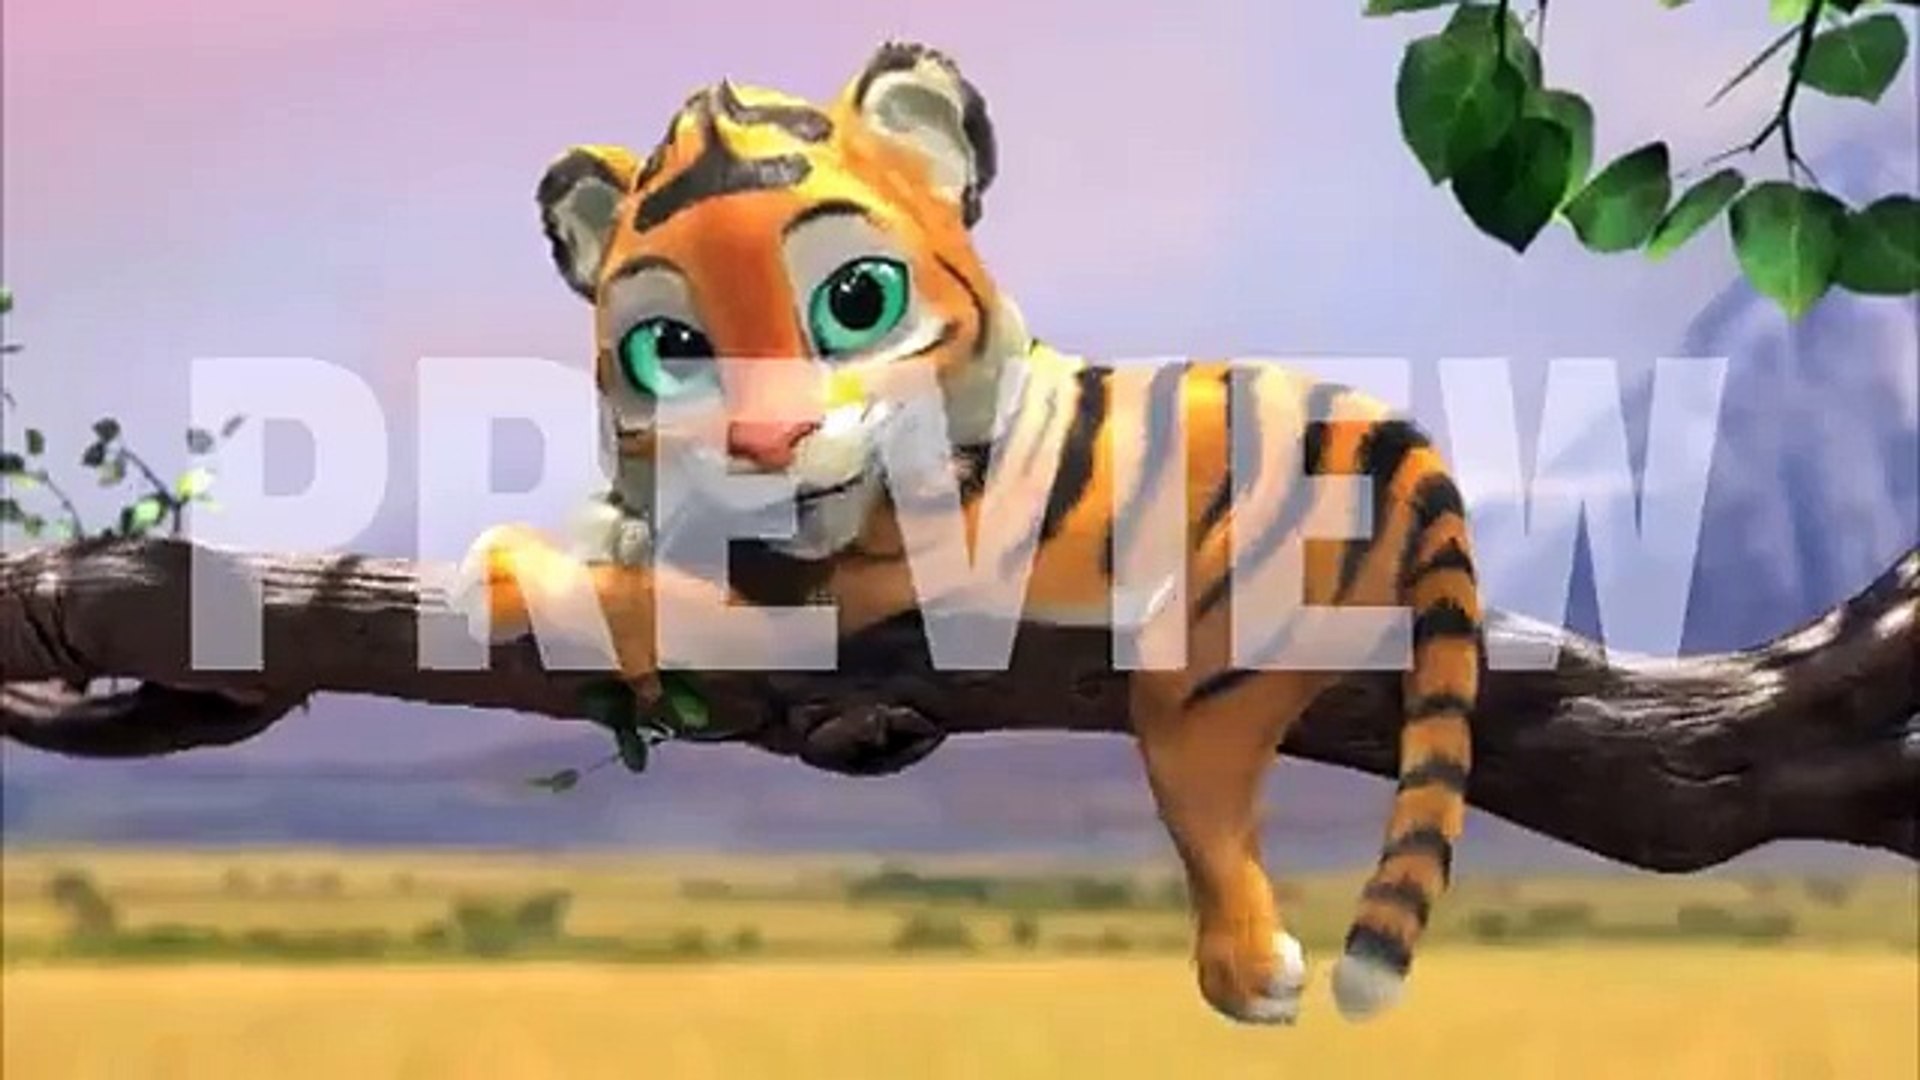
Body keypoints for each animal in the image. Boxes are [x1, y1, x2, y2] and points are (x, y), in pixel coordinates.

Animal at [461, 41, 1481, 1026]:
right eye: (668, 349)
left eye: (857, 300)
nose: (766, 442)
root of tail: (1393, 434)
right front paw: (610, 525)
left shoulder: (836, 598)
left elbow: (661, 600)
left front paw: (507, 573)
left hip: (1209, 666)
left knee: (1208, 798)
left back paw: (1249, 972)